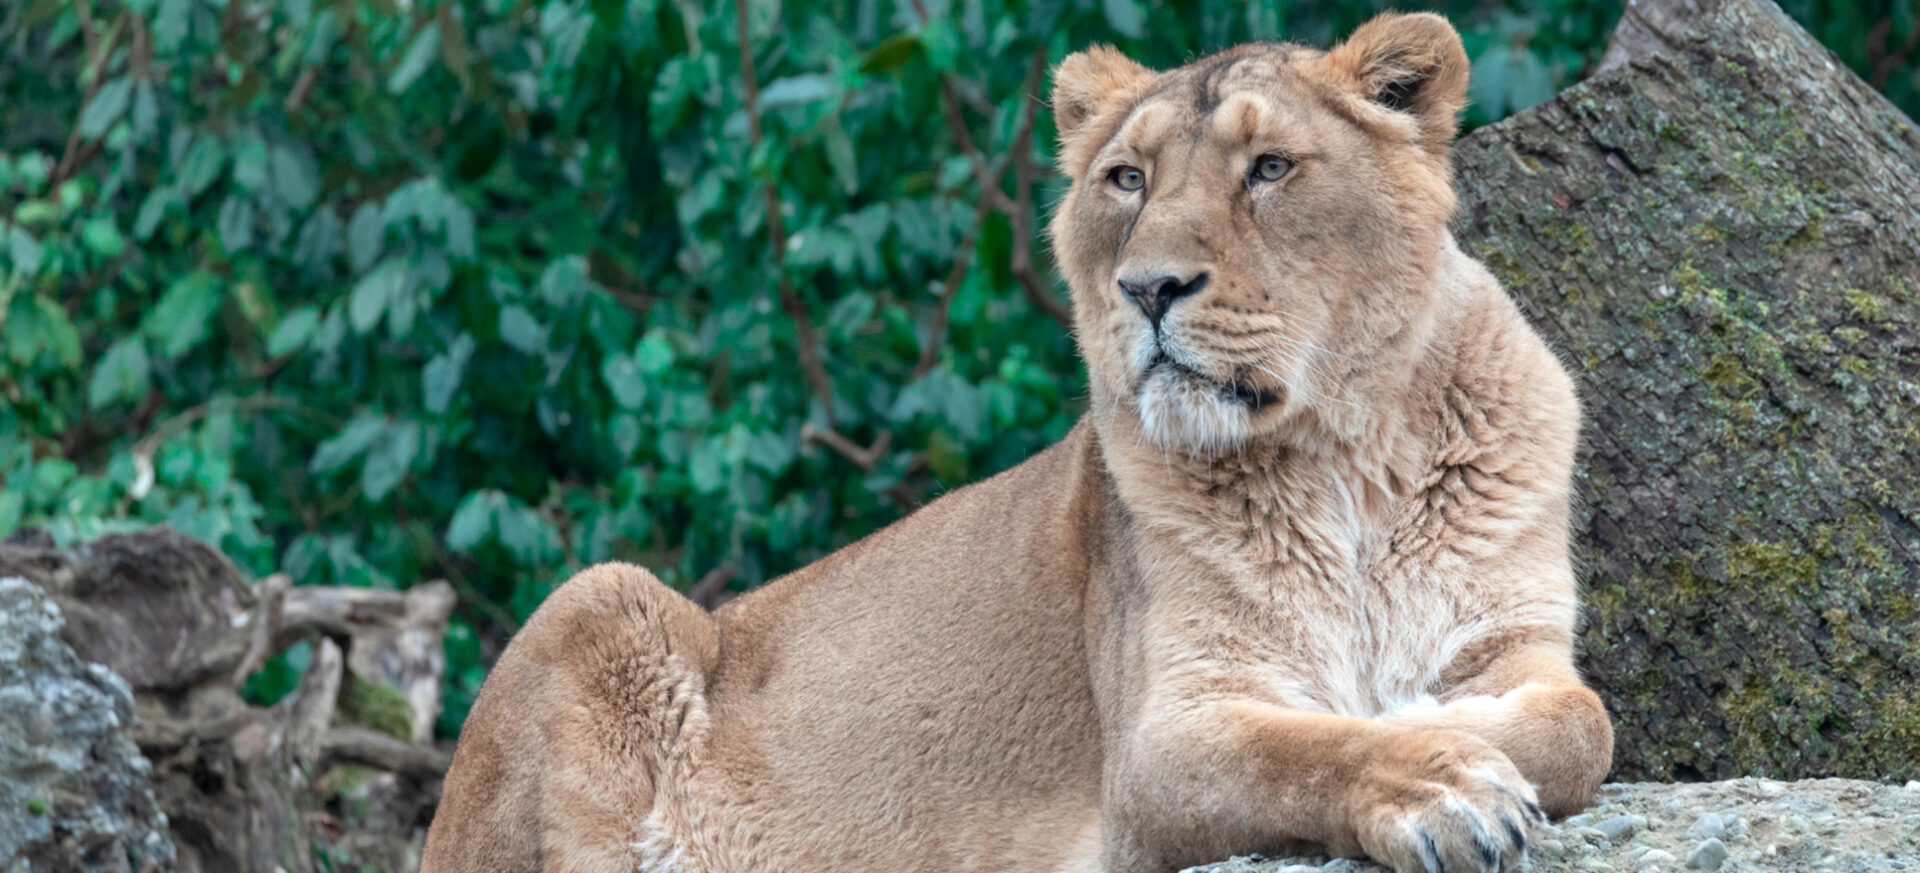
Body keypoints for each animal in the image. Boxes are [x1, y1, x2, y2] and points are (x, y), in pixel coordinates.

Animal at [422, 13, 1613, 873]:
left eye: (1271, 168)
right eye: (1127, 179)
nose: (1149, 289)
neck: (1343, 456)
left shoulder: (1513, 641)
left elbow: (1579, 725)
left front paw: (1441, 727)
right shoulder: (1159, 745)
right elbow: (1308, 748)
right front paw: (1436, 782)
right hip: (601, 598)